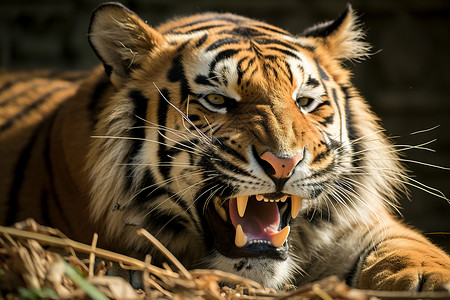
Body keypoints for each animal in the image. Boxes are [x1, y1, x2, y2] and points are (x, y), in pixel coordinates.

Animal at [0, 1, 450, 292]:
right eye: (217, 100)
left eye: (305, 102)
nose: (284, 164)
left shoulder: (358, 225)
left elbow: (408, 248)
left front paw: (430, 279)